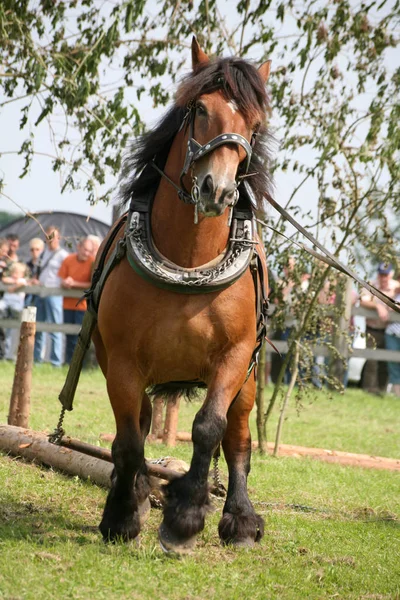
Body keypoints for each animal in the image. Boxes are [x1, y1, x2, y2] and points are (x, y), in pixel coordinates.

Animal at [92, 38, 272, 552]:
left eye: (254, 124)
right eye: (199, 110)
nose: (219, 190)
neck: (188, 267)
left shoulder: (235, 356)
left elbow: (209, 428)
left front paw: (184, 519)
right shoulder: (122, 360)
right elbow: (129, 439)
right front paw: (122, 516)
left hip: (250, 379)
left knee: (238, 439)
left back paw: (241, 520)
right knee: (137, 423)